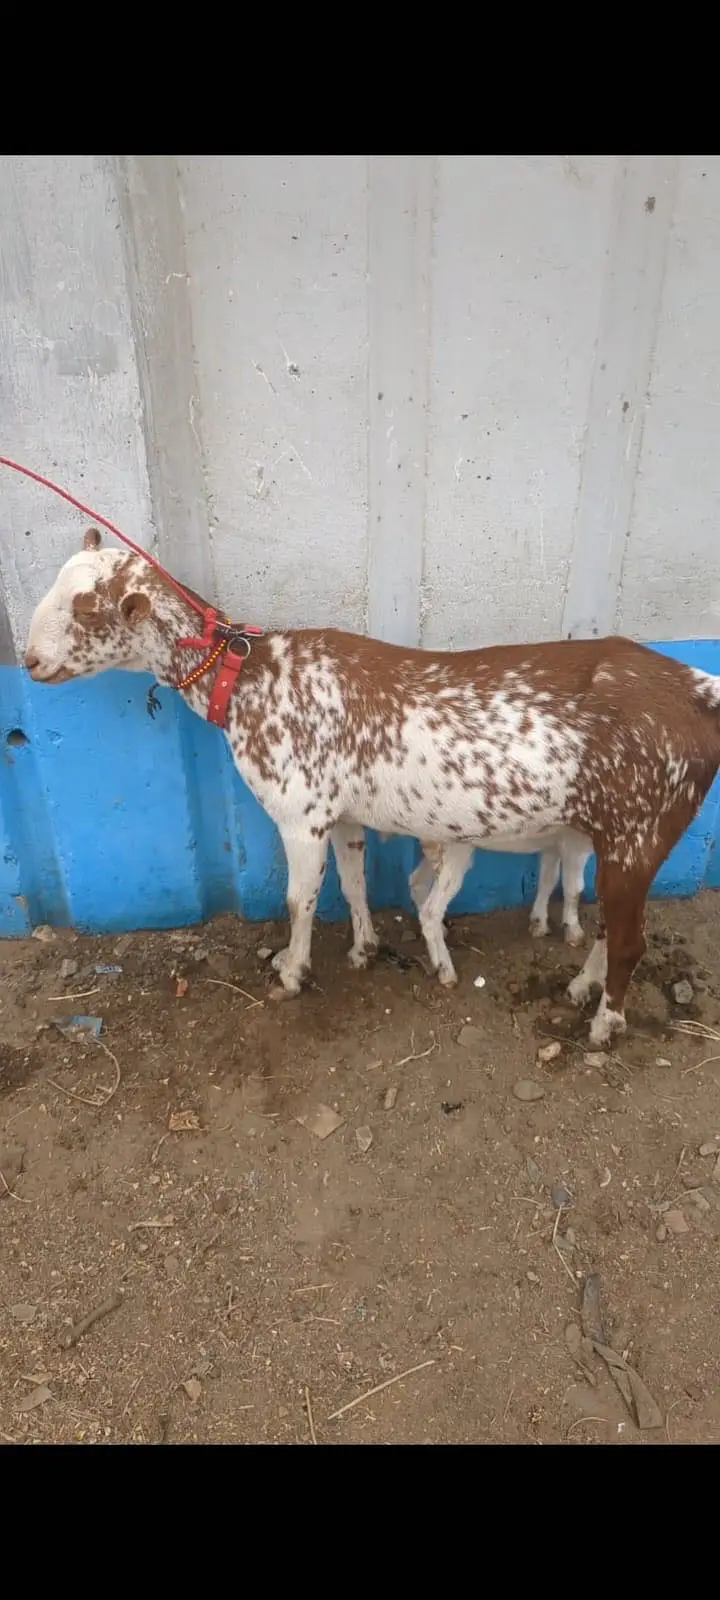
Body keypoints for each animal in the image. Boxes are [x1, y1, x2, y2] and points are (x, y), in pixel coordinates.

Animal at [24, 530, 720, 1045]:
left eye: (86, 609)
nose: (29, 660)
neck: (246, 679)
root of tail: (698, 688)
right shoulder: (344, 815)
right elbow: (354, 882)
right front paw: (363, 948)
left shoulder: (300, 814)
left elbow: (299, 899)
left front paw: (291, 971)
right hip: (616, 834)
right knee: (608, 923)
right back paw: (580, 989)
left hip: (640, 829)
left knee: (630, 937)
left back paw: (605, 1024)